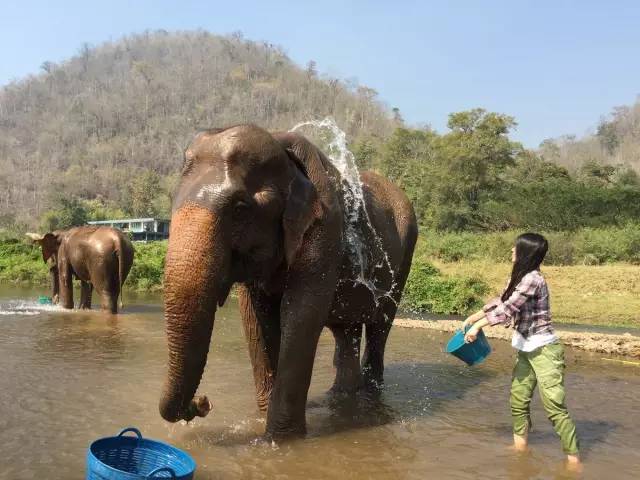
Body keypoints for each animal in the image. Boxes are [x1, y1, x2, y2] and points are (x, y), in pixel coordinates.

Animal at [161, 124, 416, 438]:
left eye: (240, 208)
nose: (203, 402)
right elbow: (255, 317)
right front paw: (264, 422)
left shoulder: (324, 230)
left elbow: (300, 313)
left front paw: (280, 439)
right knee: (347, 332)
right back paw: (341, 397)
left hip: (406, 255)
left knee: (381, 326)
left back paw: (368, 397)